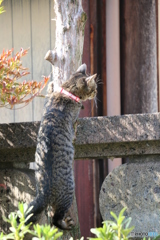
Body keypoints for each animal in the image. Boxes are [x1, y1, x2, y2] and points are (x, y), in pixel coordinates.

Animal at [26, 64, 97, 230]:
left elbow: (49, 93)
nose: (96, 93)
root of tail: (43, 193)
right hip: (68, 192)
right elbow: (75, 129)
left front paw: (51, 85)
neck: (67, 92)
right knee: (55, 220)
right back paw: (66, 224)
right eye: (95, 88)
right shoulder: (73, 125)